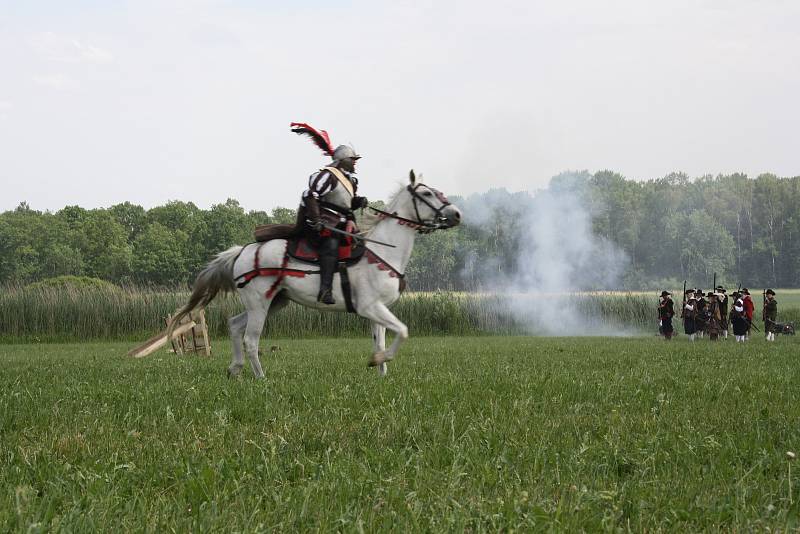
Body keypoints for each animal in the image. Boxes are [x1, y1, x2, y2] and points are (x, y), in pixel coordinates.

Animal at [172, 174, 466, 378]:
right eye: (427, 193)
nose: (456, 214)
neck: (382, 251)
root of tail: (242, 251)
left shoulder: (378, 310)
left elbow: (381, 340)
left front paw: (381, 371)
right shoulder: (370, 307)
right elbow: (403, 331)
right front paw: (378, 362)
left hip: (276, 302)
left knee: (234, 325)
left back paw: (235, 369)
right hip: (260, 303)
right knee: (250, 339)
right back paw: (260, 378)